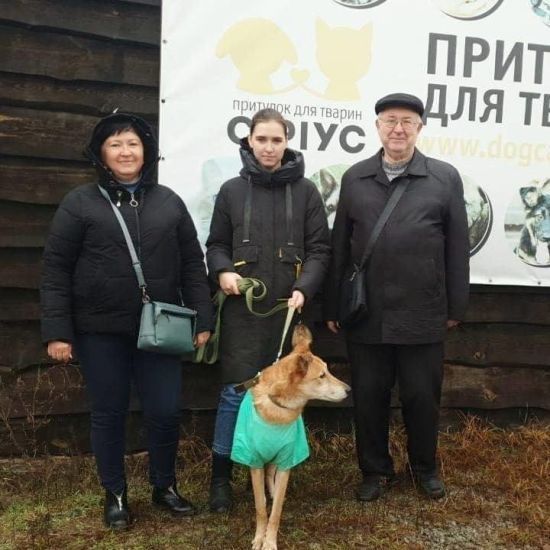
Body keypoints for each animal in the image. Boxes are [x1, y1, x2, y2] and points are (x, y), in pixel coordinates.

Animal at [231, 325, 350, 550]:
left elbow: (276, 512)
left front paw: (270, 541)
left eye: (328, 370)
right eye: (322, 375)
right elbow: (260, 509)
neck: (277, 407)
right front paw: (259, 538)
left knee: (272, 475)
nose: (349, 390)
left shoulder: (286, 459)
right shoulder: (254, 462)